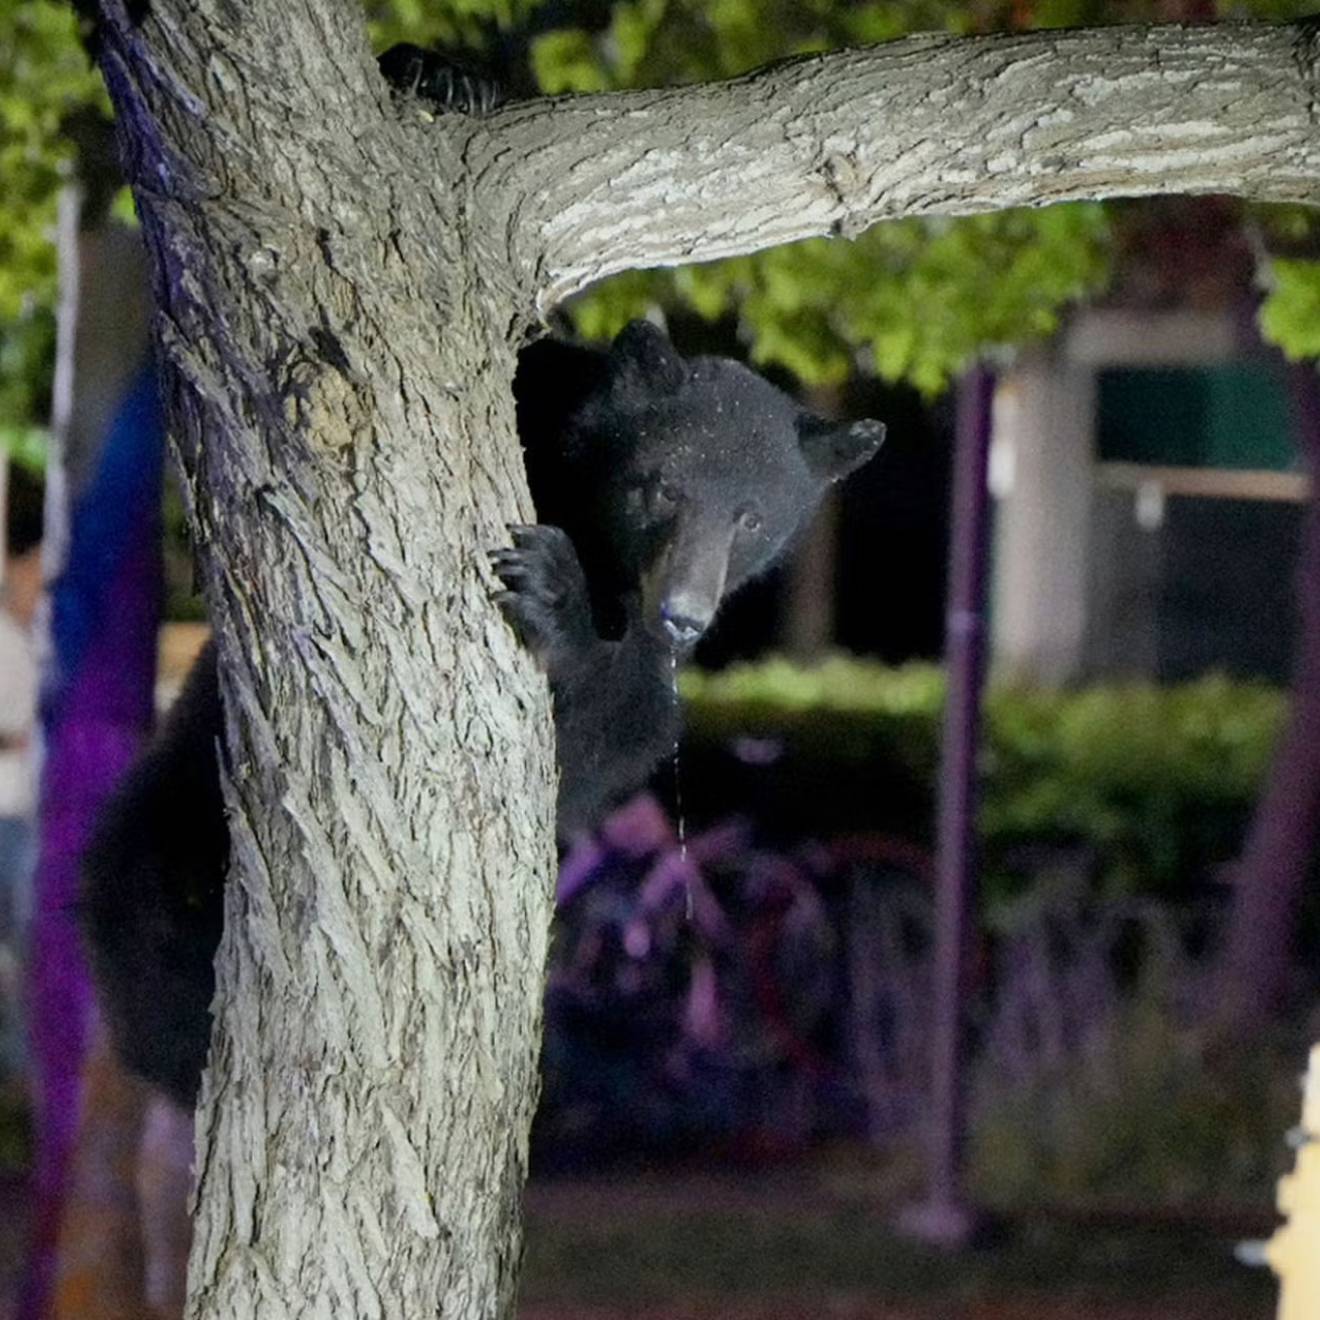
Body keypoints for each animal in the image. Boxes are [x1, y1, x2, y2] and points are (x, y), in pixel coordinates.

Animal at [81, 320, 884, 1106]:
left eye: (752, 519)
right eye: (662, 488)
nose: (683, 615)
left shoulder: (641, 668)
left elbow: (615, 734)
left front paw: (558, 601)